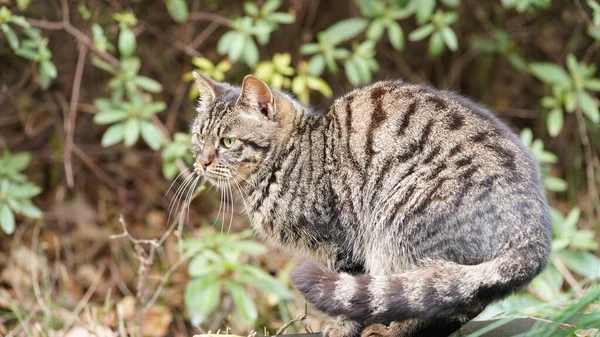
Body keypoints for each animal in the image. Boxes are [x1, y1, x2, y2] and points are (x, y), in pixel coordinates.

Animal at [189, 73, 552, 336]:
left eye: (227, 142)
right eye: (199, 137)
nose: (202, 162)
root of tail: (536, 230)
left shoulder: (342, 242)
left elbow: (348, 295)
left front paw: (340, 329)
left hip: (398, 225)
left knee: (430, 294)